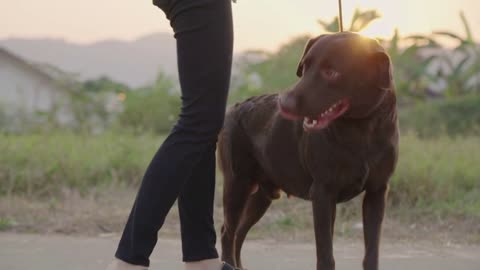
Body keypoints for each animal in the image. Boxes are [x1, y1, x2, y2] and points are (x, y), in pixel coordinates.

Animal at [218, 32, 398, 270]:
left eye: (331, 72)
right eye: (304, 67)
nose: (284, 103)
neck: (362, 131)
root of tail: (234, 107)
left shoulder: (376, 193)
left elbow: (371, 253)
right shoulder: (323, 193)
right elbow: (325, 255)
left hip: (261, 195)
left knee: (239, 232)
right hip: (237, 185)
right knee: (227, 233)